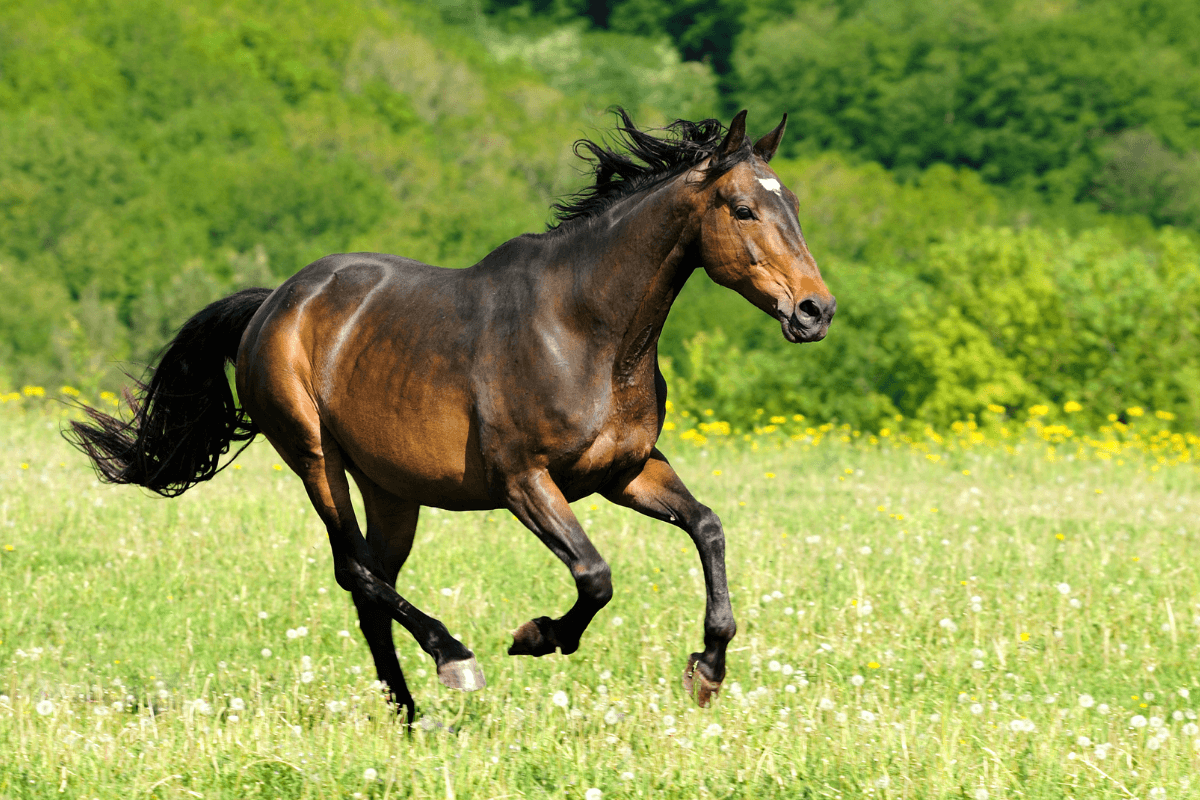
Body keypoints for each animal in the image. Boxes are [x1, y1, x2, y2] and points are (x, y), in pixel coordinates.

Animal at [65, 109, 835, 724]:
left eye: (796, 203)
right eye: (742, 208)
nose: (815, 311)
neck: (587, 331)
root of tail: (273, 303)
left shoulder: (628, 472)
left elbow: (707, 528)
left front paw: (706, 671)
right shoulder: (525, 481)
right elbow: (595, 574)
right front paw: (537, 636)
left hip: (391, 489)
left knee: (371, 585)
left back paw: (410, 715)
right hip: (316, 458)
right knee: (354, 570)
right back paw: (453, 660)